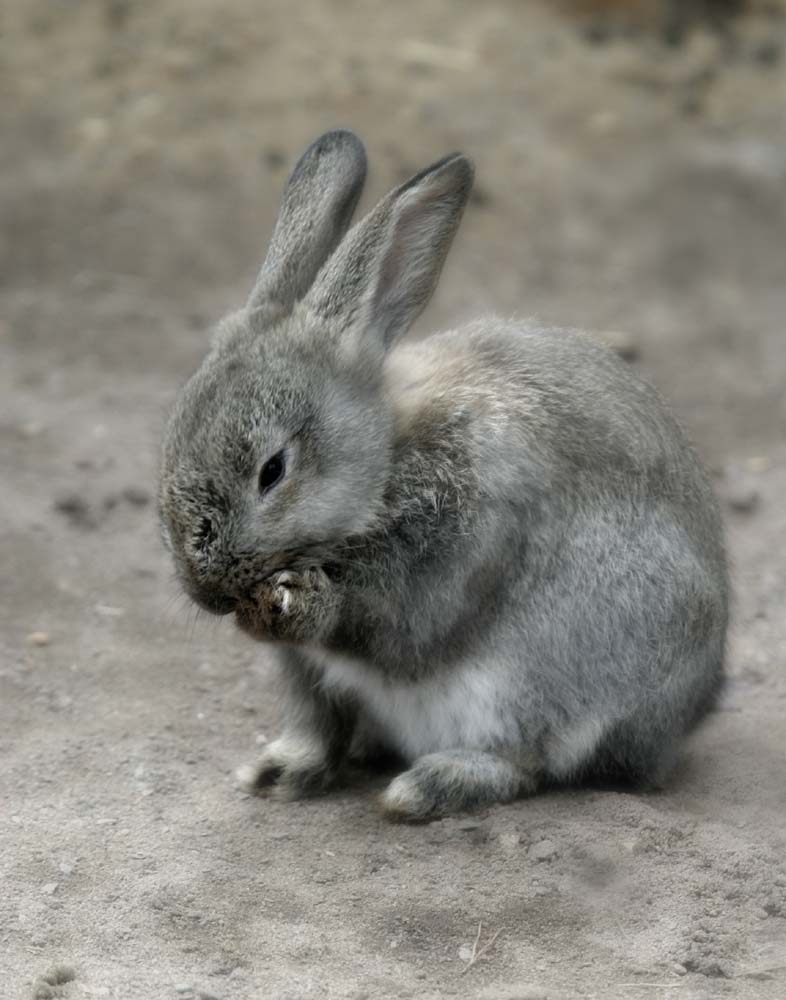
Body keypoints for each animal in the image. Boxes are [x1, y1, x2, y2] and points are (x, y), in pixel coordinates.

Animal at [159, 131, 728, 820]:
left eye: (272, 471)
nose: (206, 592)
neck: (385, 461)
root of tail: (682, 723)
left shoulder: (458, 548)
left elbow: (392, 624)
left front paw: (300, 603)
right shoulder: (306, 675)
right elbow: (319, 727)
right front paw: (275, 770)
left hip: (541, 677)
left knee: (528, 761)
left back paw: (427, 787)